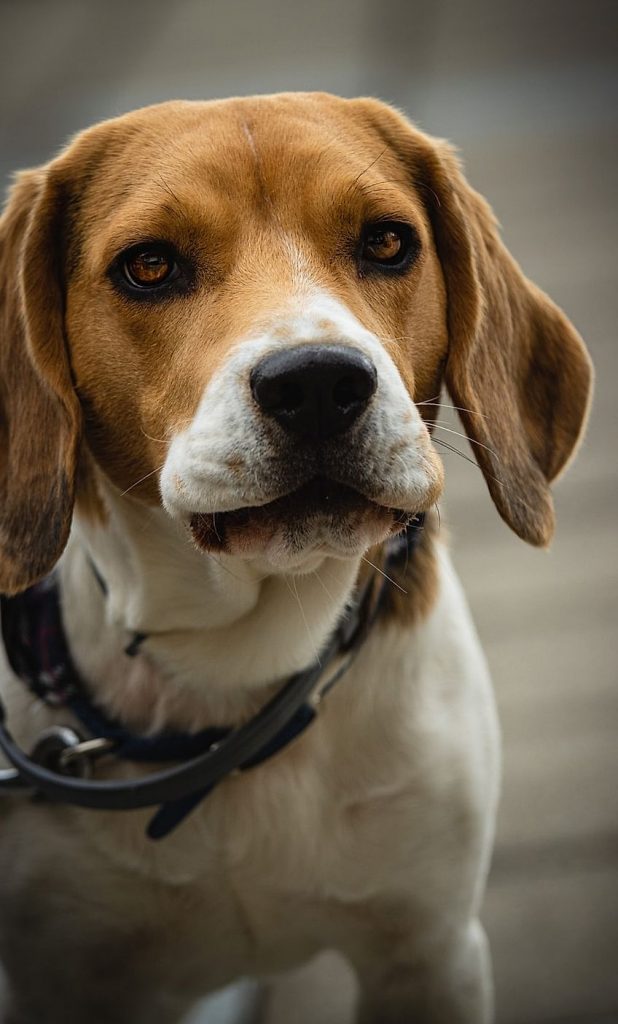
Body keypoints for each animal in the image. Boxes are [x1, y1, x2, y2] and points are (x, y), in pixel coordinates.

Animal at [0, 96, 593, 1024]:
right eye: (149, 266)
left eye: (386, 242)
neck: (239, 669)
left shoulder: (429, 952)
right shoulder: (60, 976)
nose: (317, 382)